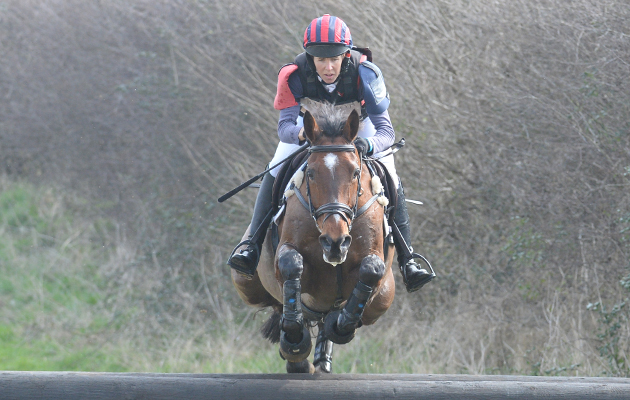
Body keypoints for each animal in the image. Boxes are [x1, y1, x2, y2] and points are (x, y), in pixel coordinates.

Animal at [232, 102, 398, 372]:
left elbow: (371, 271)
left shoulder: (373, 265)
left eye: (355, 173)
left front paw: (340, 326)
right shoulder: (290, 257)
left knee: (327, 319)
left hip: (385, 297)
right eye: (310, 173)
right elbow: (291, 266)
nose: (334, 243)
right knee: (279, 303)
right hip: (246, 283)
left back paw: (323, 351)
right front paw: (294, 340)